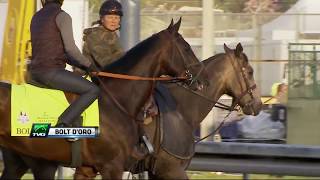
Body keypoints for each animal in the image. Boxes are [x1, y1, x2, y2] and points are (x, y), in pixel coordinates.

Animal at [0, 19, 205, 179]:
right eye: (187, 48)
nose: (201, 81)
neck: (117, 101)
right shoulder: (112, 166)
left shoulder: (87, 169)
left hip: (22, 161)